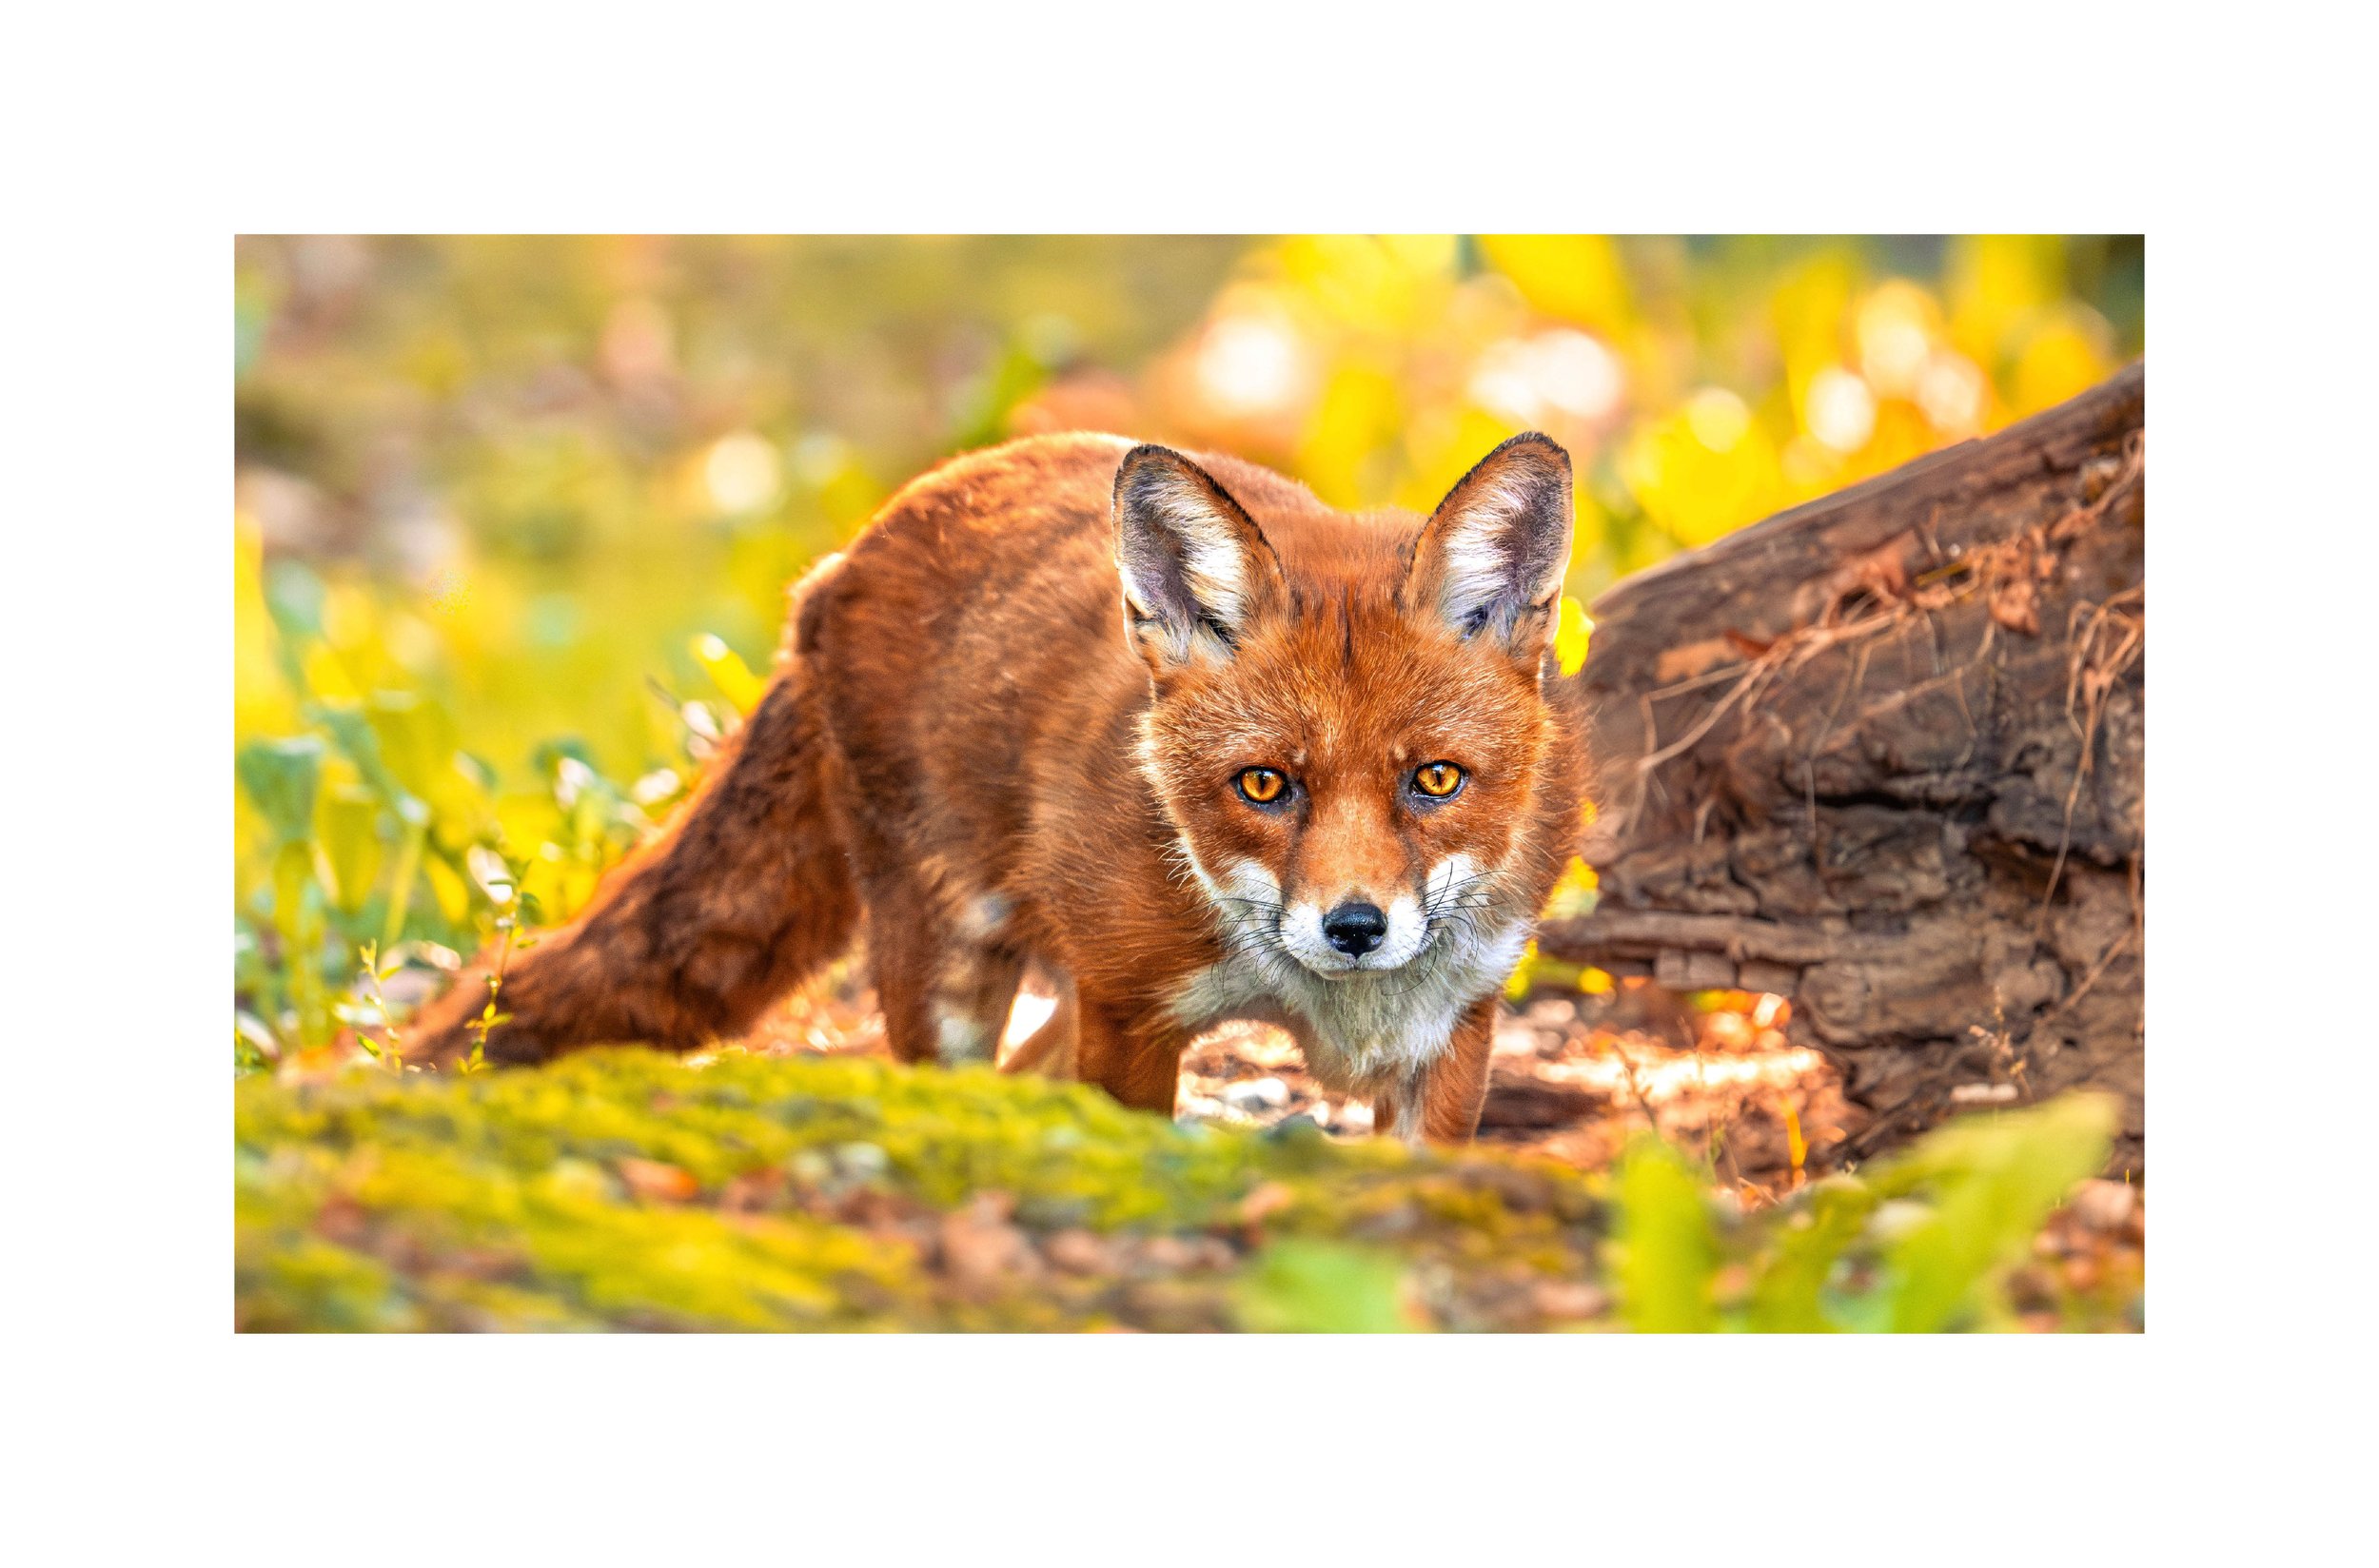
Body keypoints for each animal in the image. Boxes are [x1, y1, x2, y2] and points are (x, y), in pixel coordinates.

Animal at [408, 430, 1592, 1142]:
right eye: (1263, 785)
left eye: (1435, 779)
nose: (1354, 927)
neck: (1330, 1005)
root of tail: (840, 560)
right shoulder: (1130, 1013)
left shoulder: (1455, 1034)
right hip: (948, 965)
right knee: (954, 1086)